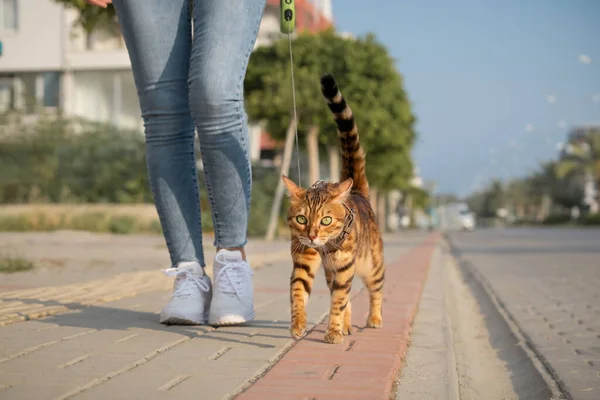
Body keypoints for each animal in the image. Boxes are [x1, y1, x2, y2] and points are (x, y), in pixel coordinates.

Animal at [282, 73, 384, 342]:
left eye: (325, 220)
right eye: (302, 219)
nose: (312, 236)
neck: (324, 247)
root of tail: (357, 191)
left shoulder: (345, 267)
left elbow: (338, 301)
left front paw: (333, 331)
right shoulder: (303, 259)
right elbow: (298, 293)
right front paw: (298, 324)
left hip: (372, 265)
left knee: (375, 290)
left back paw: (374, 319)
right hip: (331, 273)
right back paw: (348, 325)